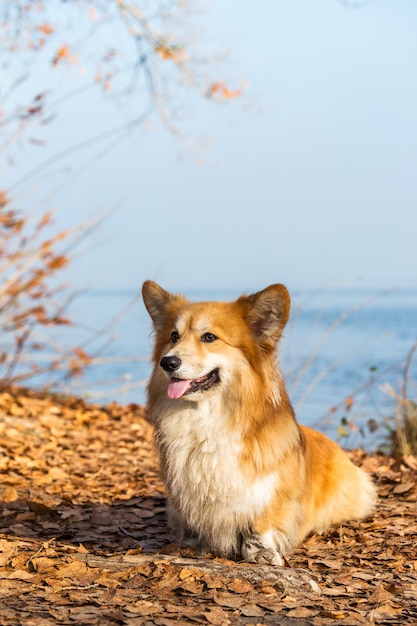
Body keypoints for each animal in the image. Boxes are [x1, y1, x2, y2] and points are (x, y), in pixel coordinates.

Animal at [141, 280, 376, 564]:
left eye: (209, 337)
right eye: (174, 336)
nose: (168, 362)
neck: (207, 416)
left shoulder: (268, 490)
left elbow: (260, 523)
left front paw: (260, 551)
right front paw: (191, 543)